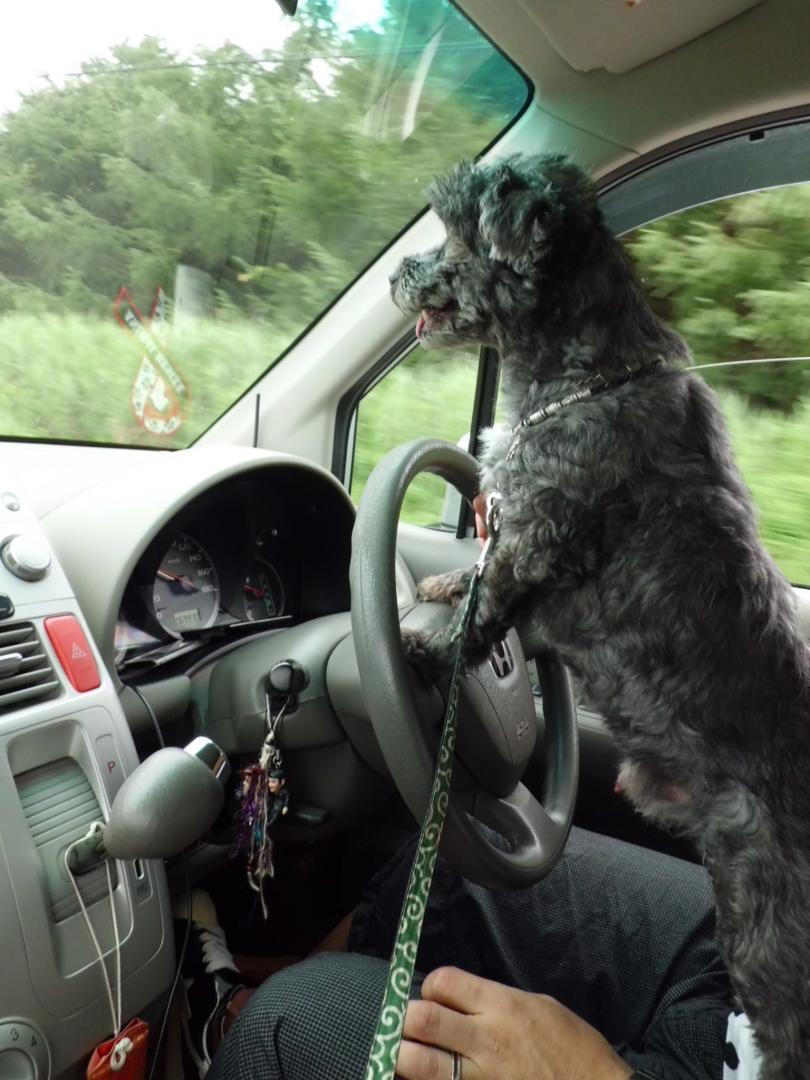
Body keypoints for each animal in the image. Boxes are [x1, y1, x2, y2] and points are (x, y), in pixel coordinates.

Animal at [390, 154, 810, 1080]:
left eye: (457, 234)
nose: (398, 273)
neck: (583, 379)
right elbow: (475, 577)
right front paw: (439, 588)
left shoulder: (538, 533)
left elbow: (486, 612)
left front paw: (426, 653)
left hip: (772, 931)